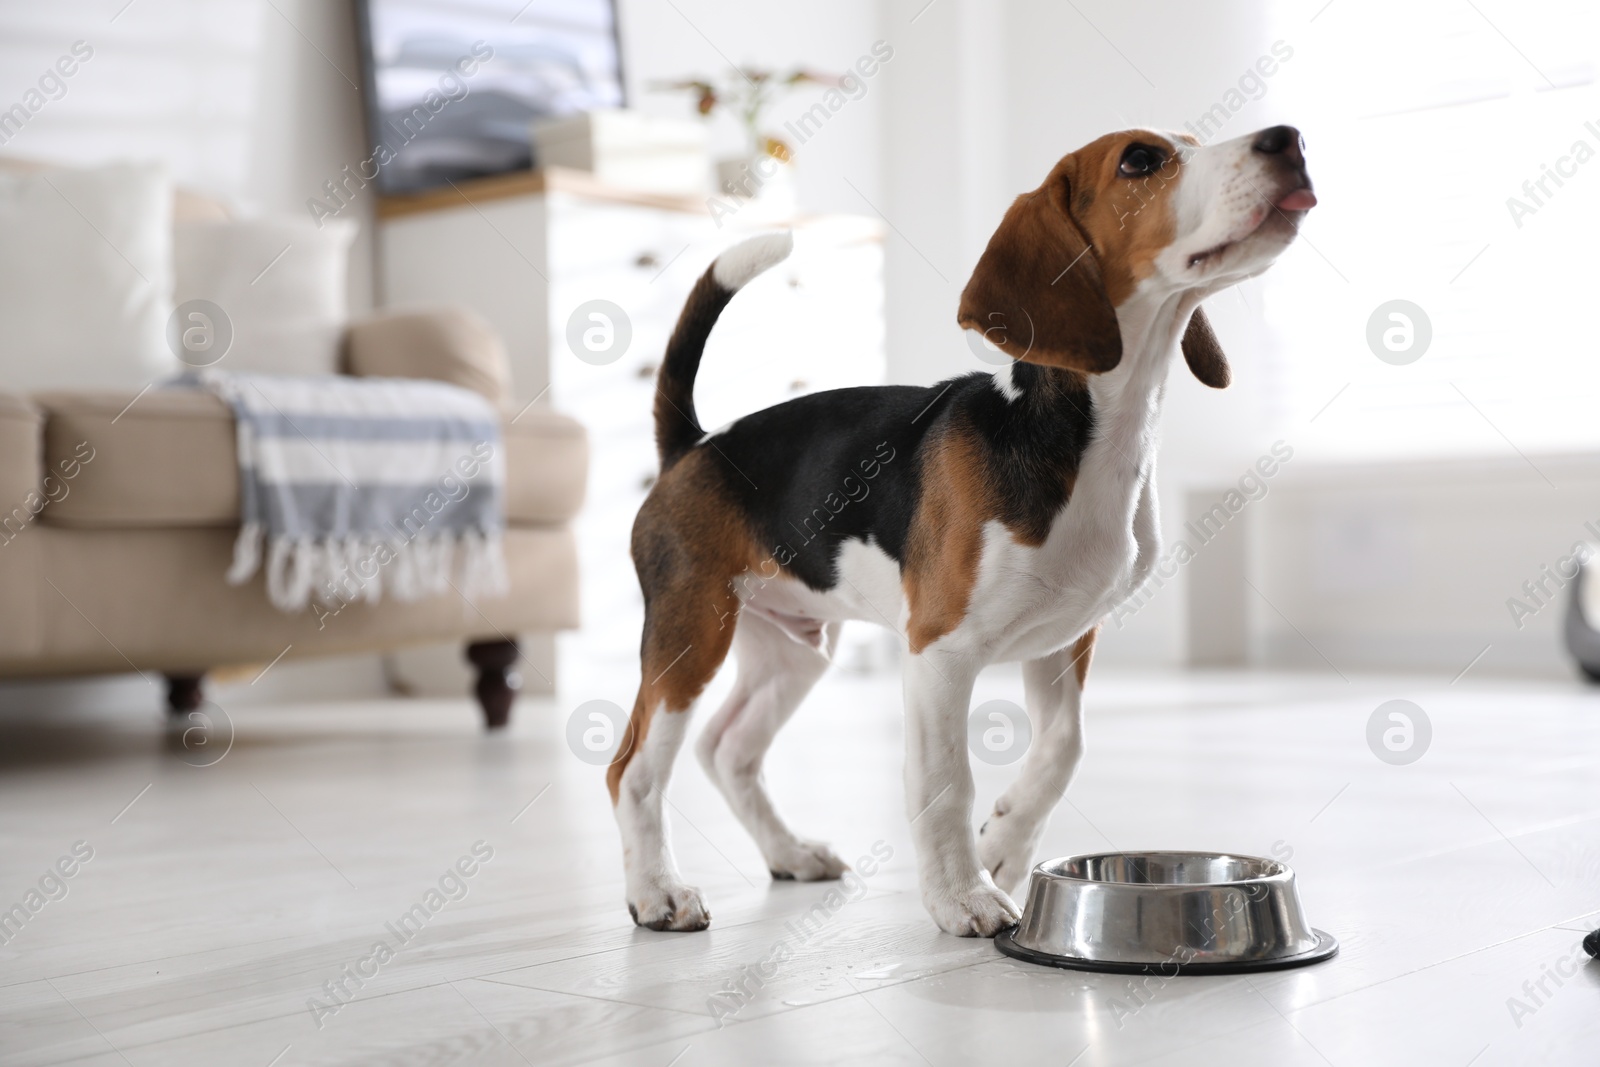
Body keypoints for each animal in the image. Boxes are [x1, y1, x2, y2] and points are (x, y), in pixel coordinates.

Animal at [604, 125, 1318, 934]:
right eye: (1141, 160)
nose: (1288, 139)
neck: (1088, 432)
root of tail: (694, 444)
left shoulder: (1065, 638)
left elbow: (1064, 747)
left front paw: (1004, 843)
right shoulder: (940, 651)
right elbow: (945, 780)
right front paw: (963, 895)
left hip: (793, 647)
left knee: (727, 749)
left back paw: (789, 852)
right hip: (691, 632)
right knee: (632, 769)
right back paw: (657, 891)